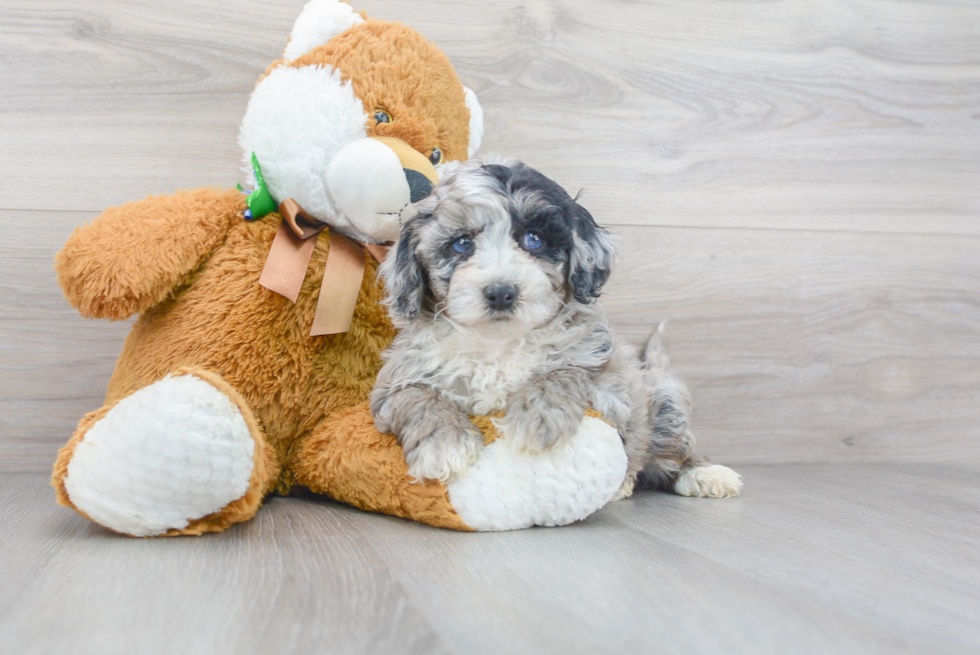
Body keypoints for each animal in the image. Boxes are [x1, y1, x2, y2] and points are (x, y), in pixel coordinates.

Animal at [372, 161, 740, 500]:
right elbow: (419, 397)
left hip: (666, 399)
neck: (498, 343)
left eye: (534, 239)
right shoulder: (396, 381)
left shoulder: (607, 379)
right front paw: (444, 444)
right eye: (461, 244)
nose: (501, 293)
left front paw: (538, 417)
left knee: (668, 455)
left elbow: (563, 372)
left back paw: (703, 474)